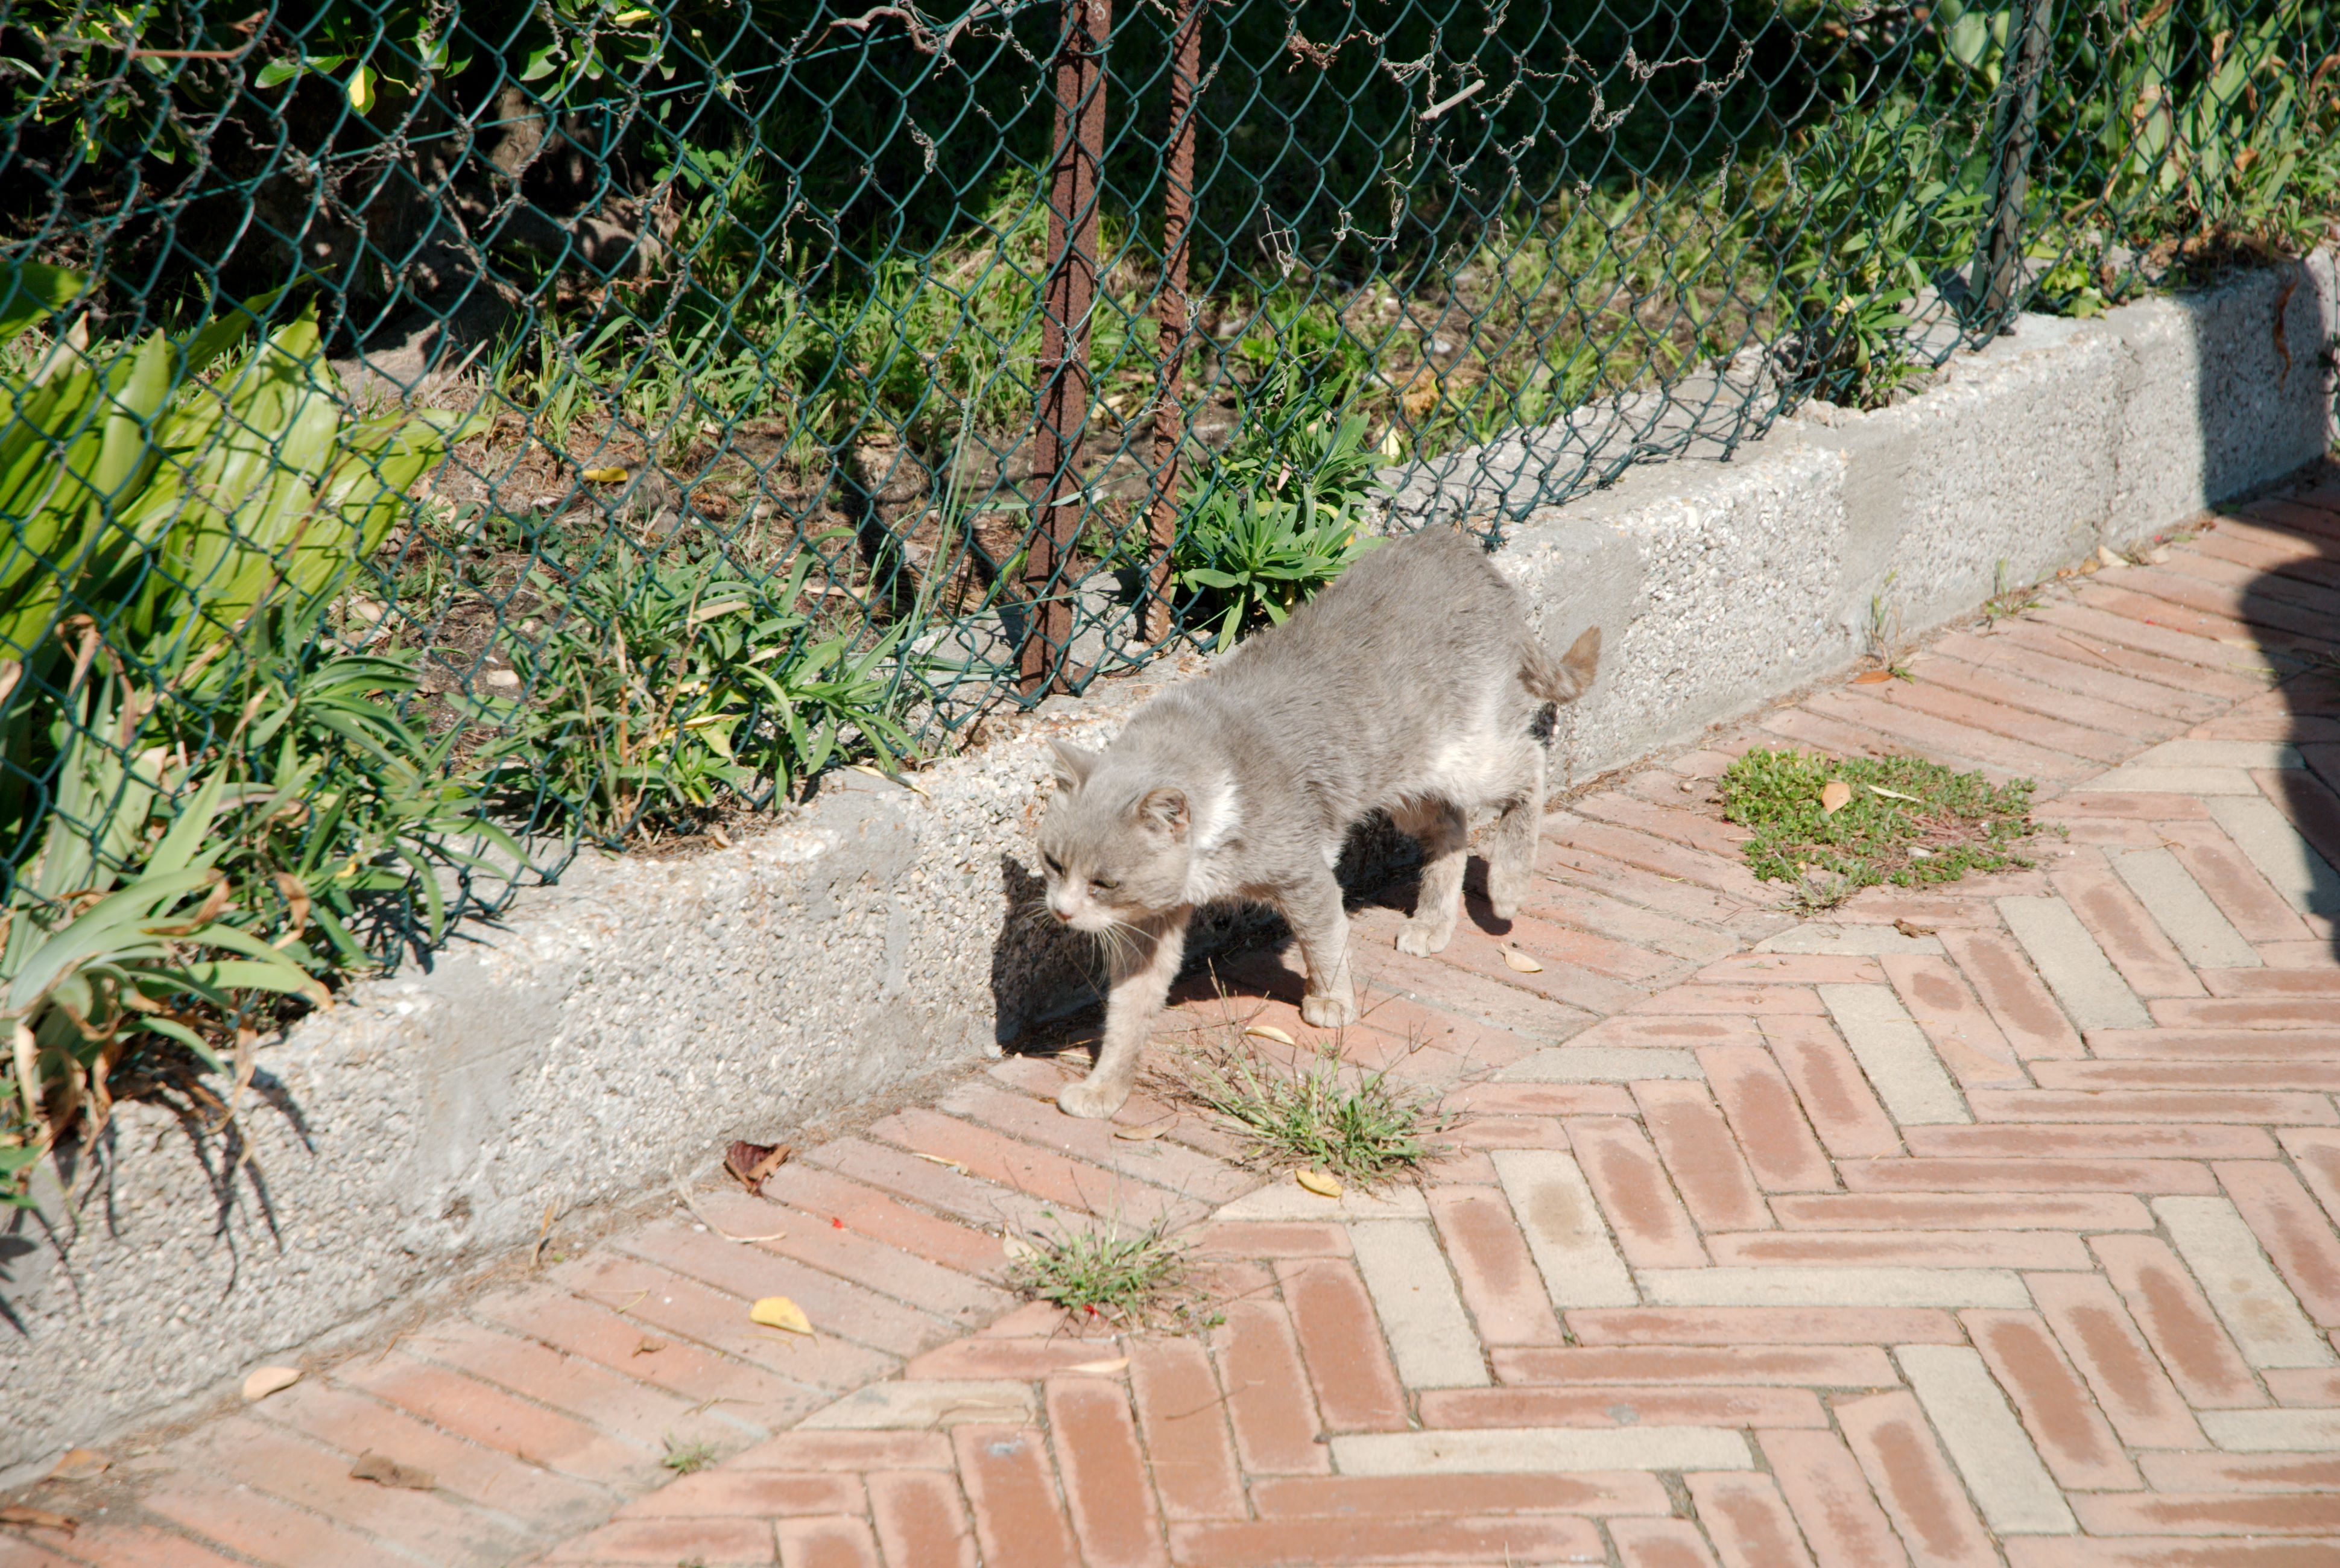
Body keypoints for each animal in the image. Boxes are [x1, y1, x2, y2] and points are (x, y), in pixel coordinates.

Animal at [1035, 526, 1602, 1119]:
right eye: (1053, 863)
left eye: (1104, 883)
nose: (1062, 911)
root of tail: (1457, 547)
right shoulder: (1146, 926)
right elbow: (1128, 1013)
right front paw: (1104, 1090)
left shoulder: (1305, 876)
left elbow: (1323, 940)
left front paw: (1331, 1002)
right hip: (1406, 784)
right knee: (1451, 829)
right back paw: (1432, 925)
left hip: (1465, 758)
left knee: (1529, 765)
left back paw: (1508, 887)